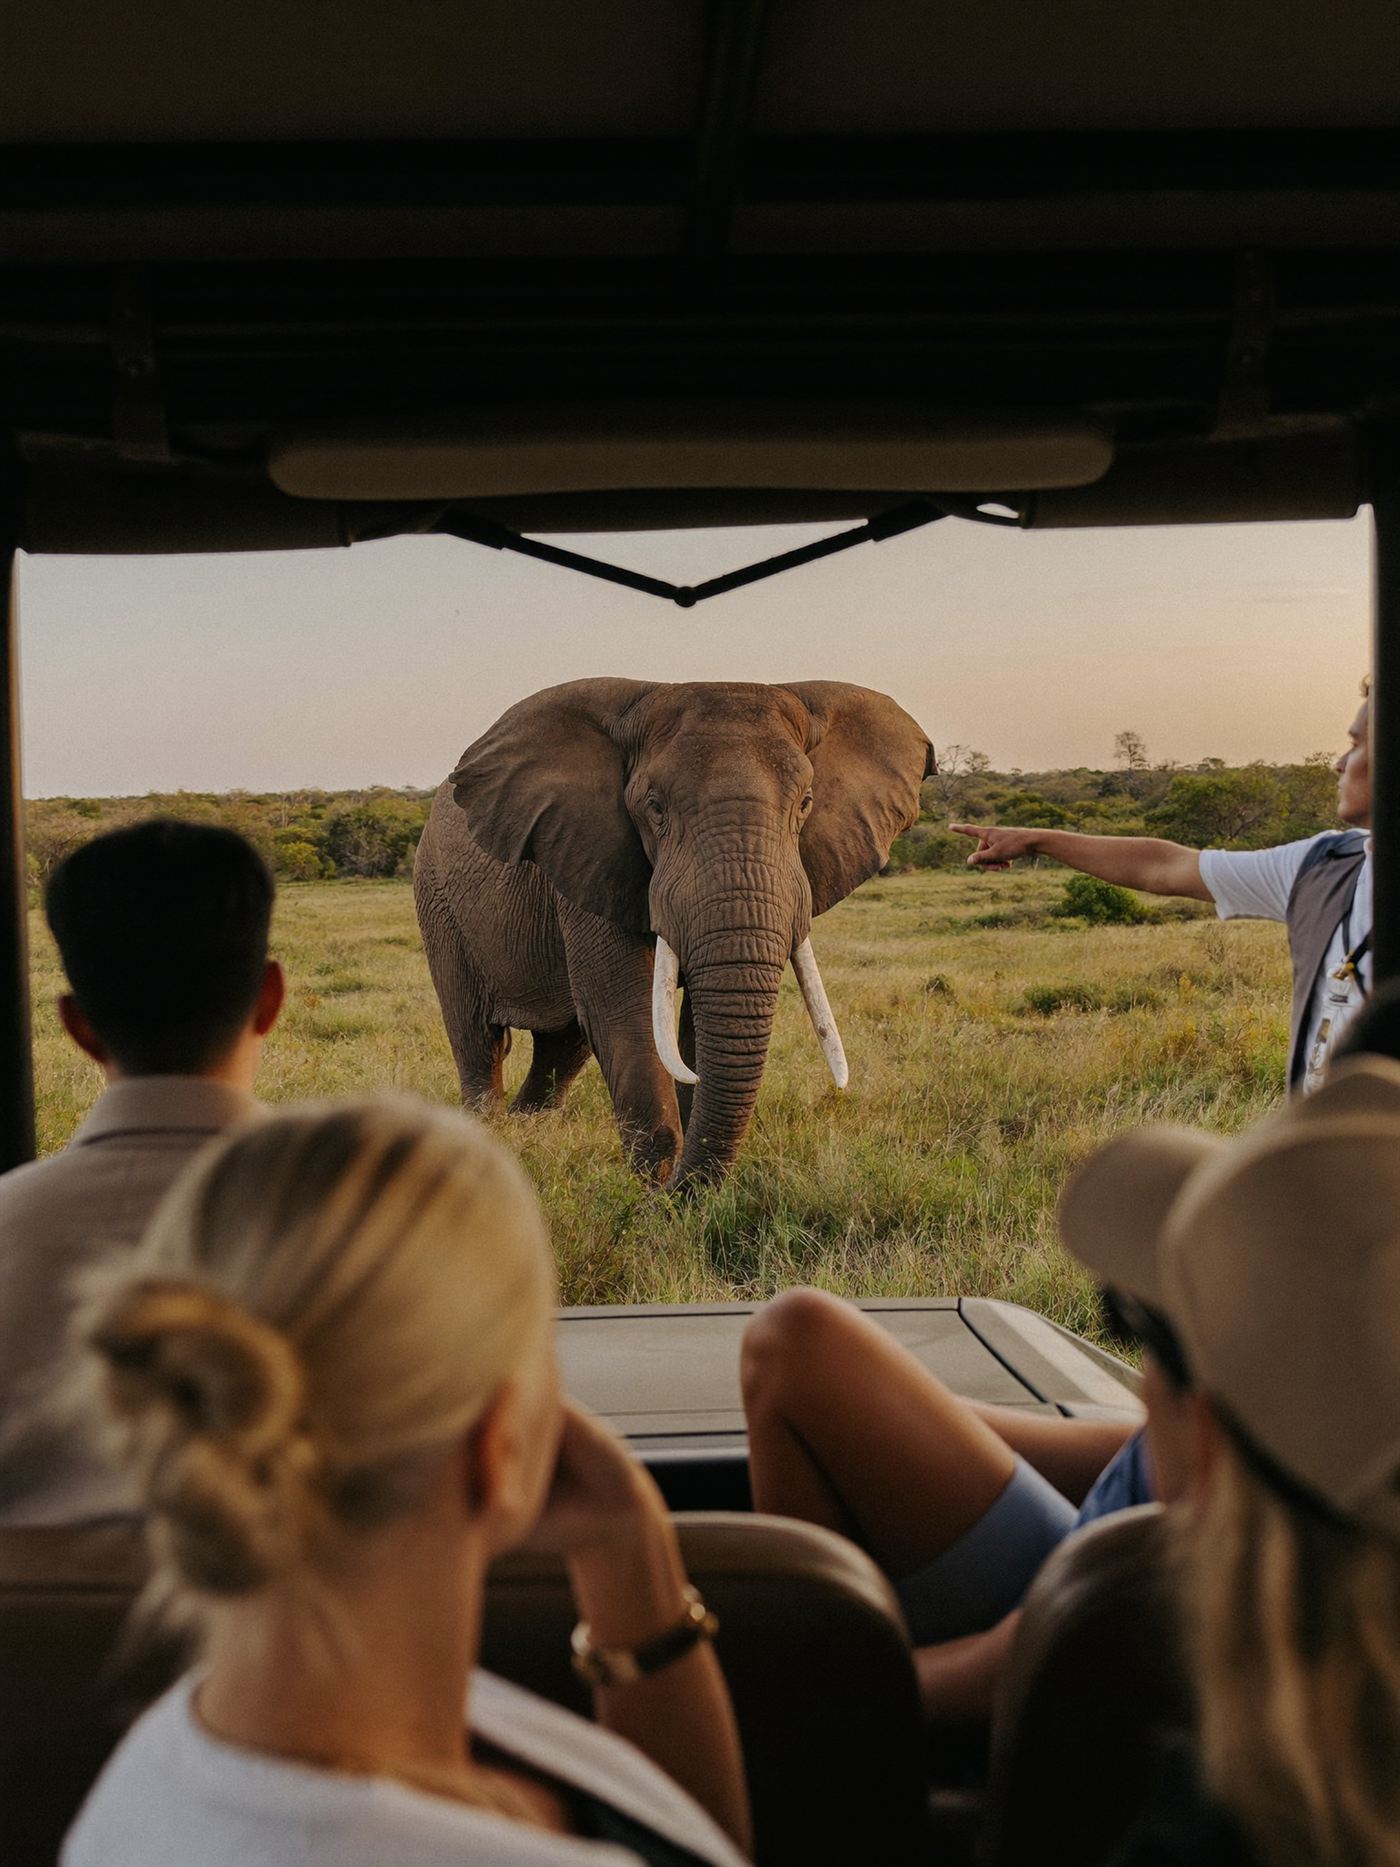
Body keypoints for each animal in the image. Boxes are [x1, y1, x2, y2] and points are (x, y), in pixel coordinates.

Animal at [414, 678, 934, 1190]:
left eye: (806, 804)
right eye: (654, 807)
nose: (677, 1187)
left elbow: (691, 1028)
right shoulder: (590, 856)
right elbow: (622, 1012)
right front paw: (655, 1191)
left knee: (562, 1045)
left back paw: (527, 1132)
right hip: (437, 899)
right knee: (480, 1038)